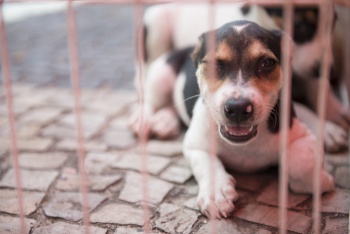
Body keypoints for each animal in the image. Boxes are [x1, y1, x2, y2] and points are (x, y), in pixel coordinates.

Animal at [129, 21, 334, 218]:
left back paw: (165, 122)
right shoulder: (195, 146)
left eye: (267, 63)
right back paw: (145, 120)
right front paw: (215, 194)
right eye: (212, 64)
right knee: (150, 100)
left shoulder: (302, 135)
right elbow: (207, 163)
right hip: (161, 74)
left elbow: (300, 163)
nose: (238, 108)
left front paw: (320, 180)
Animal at [133, 2, 348, 153]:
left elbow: (318, 88)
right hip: (156, 34)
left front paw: (335, 112)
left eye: (333, 25)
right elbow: (301, 107)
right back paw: (144, 118)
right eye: (300, 25)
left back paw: (165, 121)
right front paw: (328, 130)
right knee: (147, 92)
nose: (328, 70)